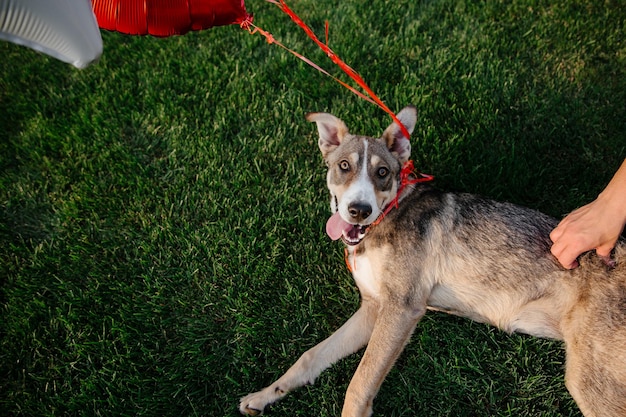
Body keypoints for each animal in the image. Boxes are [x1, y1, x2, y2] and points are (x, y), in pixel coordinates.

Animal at [239, 106, 624, 416]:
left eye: (383, 173)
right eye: (343, 166)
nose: (359, 211)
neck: (385, 219)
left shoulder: (401, 308)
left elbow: (358, 384)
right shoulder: (373, 308)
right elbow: (310, 357)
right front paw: (263, 396)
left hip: (590, 380)